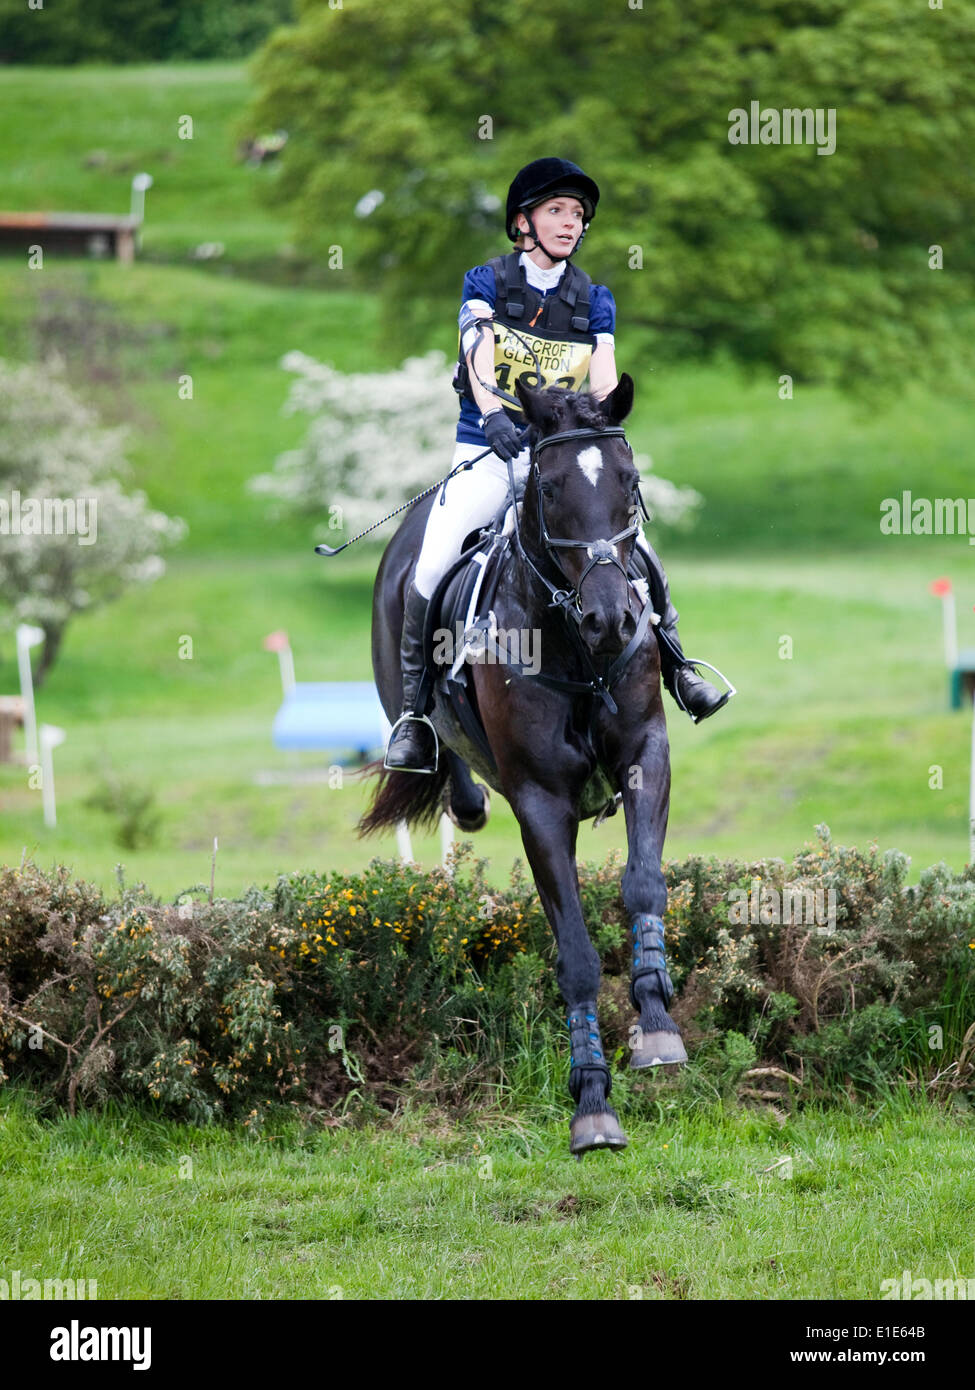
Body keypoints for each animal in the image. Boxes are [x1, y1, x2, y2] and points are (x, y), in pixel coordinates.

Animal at [358, 375, 684, 1156]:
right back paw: (446, 777)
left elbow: (643, 883)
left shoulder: (646, 755)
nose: (611, 621)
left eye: (629, 484)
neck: (574, 646)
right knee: (440, 762)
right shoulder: (539, 801)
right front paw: (591, 1101)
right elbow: (575, 955)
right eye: (552, 488)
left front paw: (657, 1024)